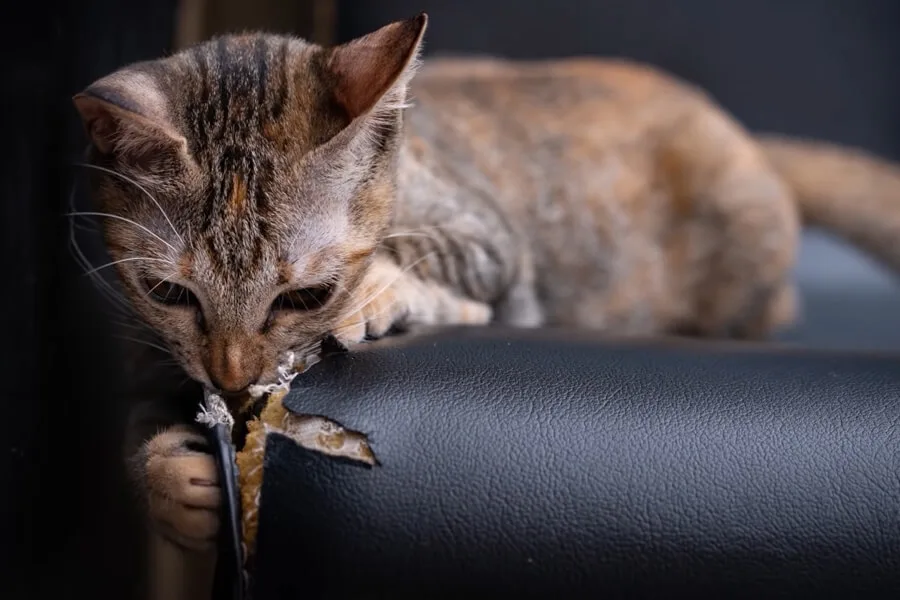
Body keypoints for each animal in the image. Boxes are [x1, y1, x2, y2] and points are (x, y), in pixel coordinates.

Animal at [72, 10, 900, 552]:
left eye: (305, 296)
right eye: (171, 295)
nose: (234, 375)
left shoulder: (494, 247)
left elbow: (443, 260)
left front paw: (380, 290)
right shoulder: (151, 352)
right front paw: (174, 484)